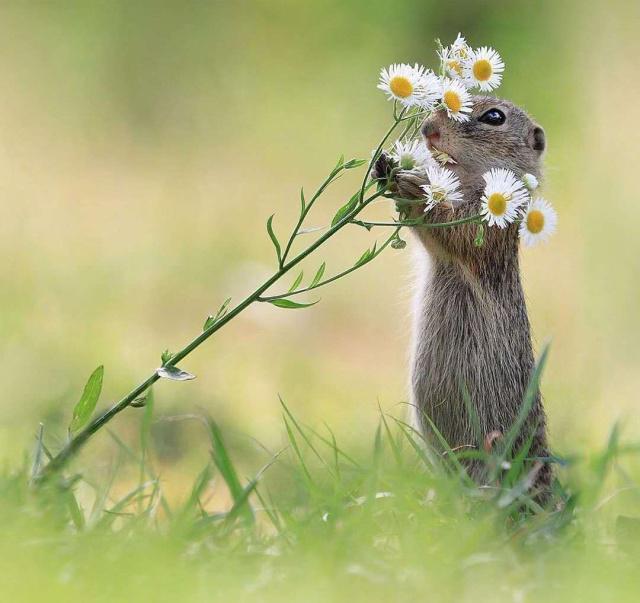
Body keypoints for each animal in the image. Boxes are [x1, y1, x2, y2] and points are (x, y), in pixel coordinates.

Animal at [376, 96, 552, 494]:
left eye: (494, 117)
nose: (428, 129)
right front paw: (384, 166)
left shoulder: (485, 228)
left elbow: (449, 229)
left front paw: (412, 186)